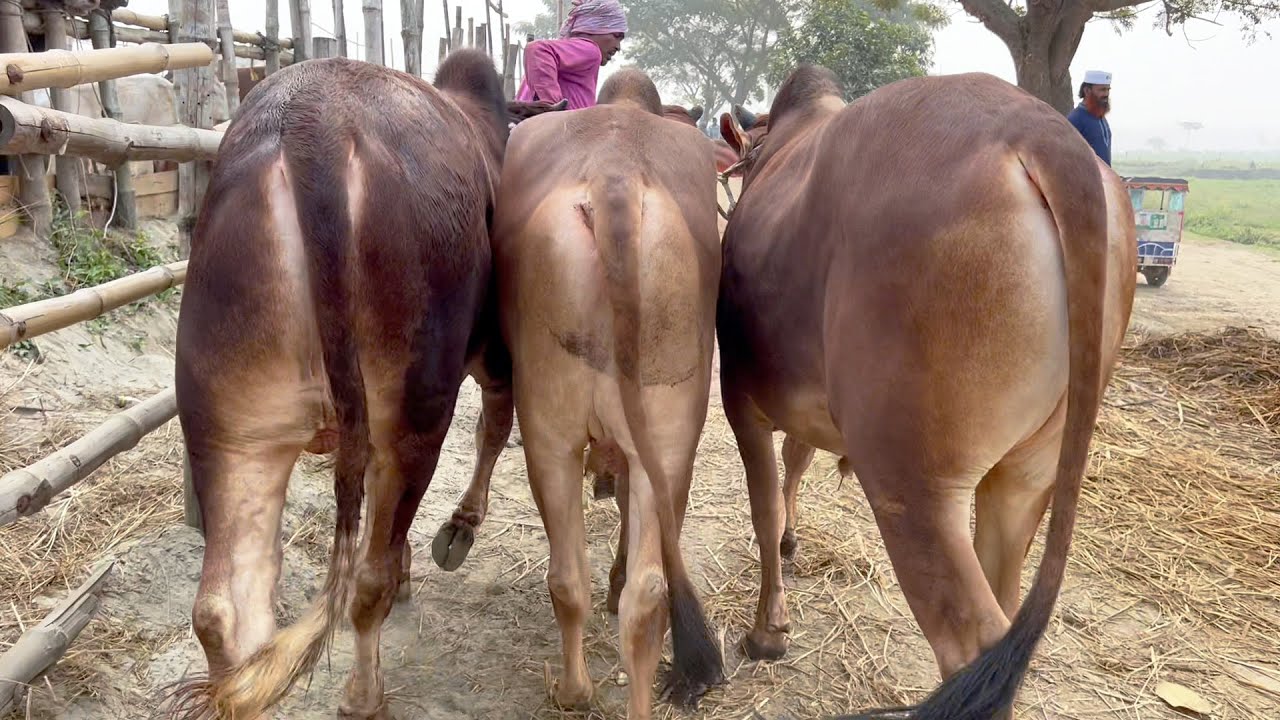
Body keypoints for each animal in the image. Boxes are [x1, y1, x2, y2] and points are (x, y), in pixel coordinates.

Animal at [163, 49, 515, 719]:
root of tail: (312, 124)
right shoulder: (497, 352)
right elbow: (494, 427)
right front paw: (457, 529)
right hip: (416, 409)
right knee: (364, 582)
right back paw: (363, 693)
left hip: (225, 421)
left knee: (223, 610)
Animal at [483, 67, 725, 717]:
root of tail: (614, 175)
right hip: (659, 433)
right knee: (637, 589)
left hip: (552, 430)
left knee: (574, 577)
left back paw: (573, 690)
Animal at [714, 66, 1136, 719]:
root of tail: (1045, 134)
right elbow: (795, 463)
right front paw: (790, 543)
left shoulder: (742, 400)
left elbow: (764, 507)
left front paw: (767, 632)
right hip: (1026, 476)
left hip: (912, 484)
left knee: (973, 644)